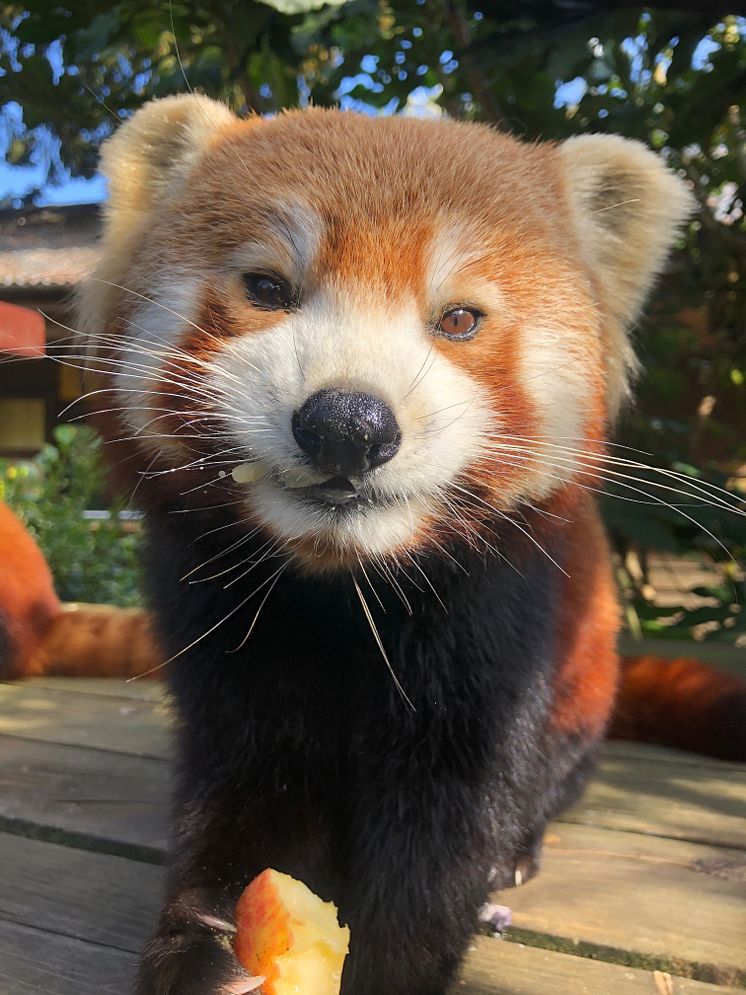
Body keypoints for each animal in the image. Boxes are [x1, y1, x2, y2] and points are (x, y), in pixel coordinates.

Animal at [20, 99, 744, 995]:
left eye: (460, 318)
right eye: (268, 288)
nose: (348, 425)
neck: (347, 589)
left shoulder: (497, 623)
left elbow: (446, 823)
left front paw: (397, 960)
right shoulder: (223, 628)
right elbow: (248, 787)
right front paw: (200, 945)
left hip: (585, 672)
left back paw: (520, 850)